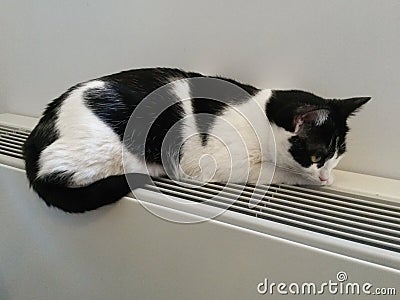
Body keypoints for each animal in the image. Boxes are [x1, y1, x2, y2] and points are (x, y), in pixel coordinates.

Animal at [23, 68, 370, 213]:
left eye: (338, 155)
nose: (325, 176)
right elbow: (274, 171)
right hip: (111, 147)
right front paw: (306, 179)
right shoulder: (214, 162)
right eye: (316, 156)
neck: (257, 116)